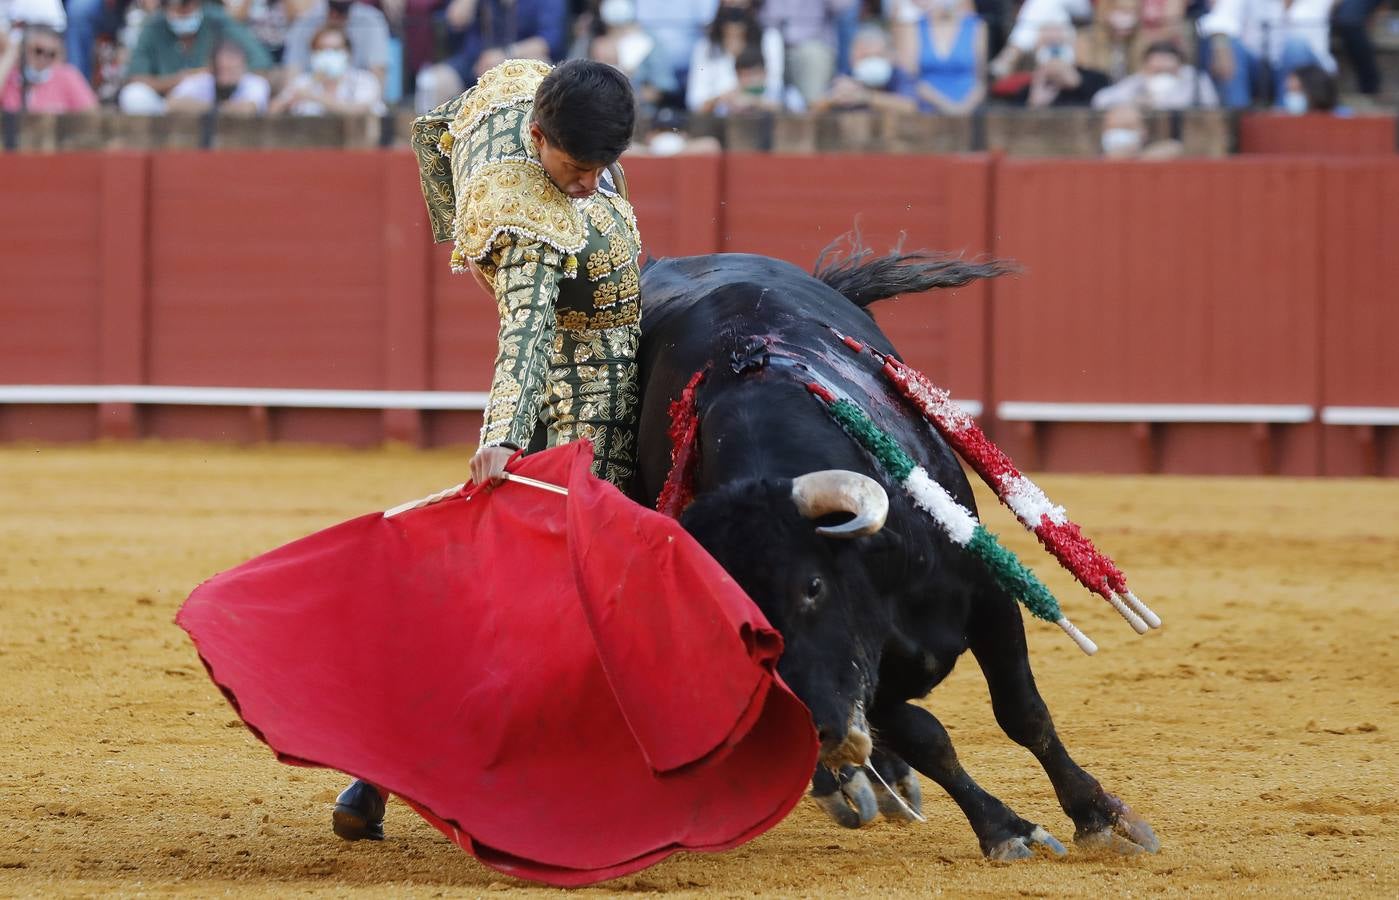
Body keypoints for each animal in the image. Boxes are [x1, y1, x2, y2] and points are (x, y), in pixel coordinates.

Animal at [635, 247, 1158, 856]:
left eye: (813, 586)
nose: (817, 734)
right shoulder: (877, 684)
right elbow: (930, 742)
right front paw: (1005, 830)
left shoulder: (990, 599)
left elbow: (1022, 713)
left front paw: (1100, 816)